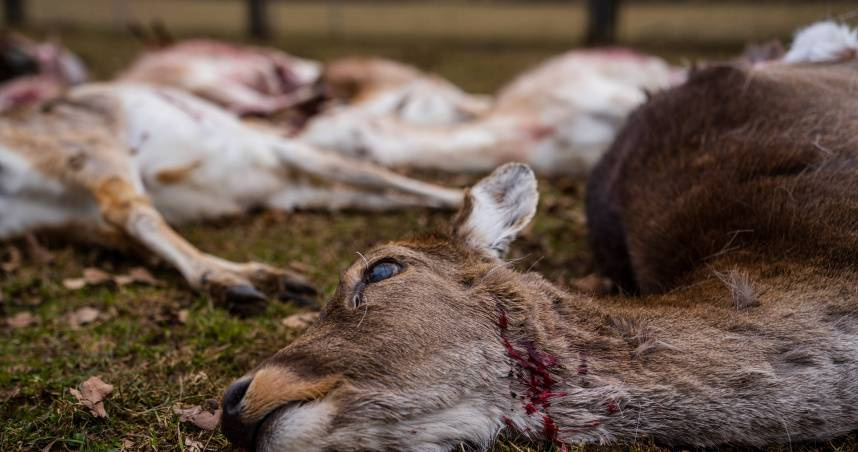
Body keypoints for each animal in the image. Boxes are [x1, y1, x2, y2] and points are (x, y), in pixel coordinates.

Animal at [0, 81, 462, 312]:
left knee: (124, 232)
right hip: (88, 147)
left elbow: (373, 194)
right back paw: (233, 282)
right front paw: (461, 197)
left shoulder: (296, 190)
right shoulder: (291, 151)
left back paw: (266, 280)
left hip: (68, 217)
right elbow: (379, 177)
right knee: (129, 211)